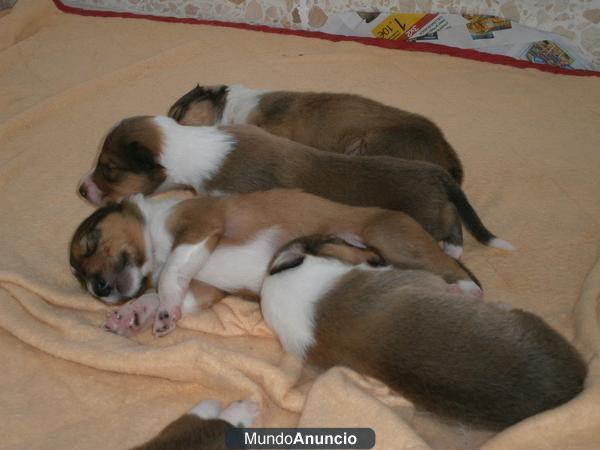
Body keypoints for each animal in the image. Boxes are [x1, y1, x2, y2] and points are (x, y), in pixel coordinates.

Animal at [70, 189, 482, 338]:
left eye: (91, 240)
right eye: (79, 278)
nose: (98, 289)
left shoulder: (200, 228)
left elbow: (171, 275)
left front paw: (161, 310)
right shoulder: (205, 289)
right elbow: (157, 294)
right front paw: (134, 315)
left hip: (395, 240)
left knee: (461, 273)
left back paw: (463, 290)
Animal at [77, 116, 512, 258]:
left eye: (109, 168)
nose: (81, 191)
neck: (196, 148)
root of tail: (438, 173)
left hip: (428, 213)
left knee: (452, 228)